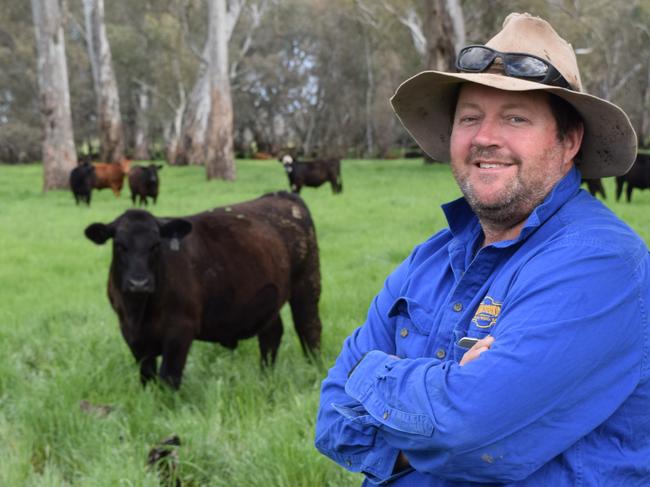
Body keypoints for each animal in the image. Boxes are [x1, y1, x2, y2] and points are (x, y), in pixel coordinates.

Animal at [83, 193, 322, 390]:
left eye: (156, 244)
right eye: (119, 245)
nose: (139, 283)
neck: (139, 311)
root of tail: (281, 196)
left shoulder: (180, 330)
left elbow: (169, 377)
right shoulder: (132, 334)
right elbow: (147, 376)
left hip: (307, 283)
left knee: (309, 328)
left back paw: (315, 371)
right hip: (269, 299)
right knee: (271, 335)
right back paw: (265, 377)